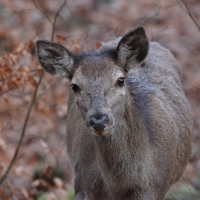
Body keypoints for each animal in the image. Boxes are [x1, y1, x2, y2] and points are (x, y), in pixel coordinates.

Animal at [35, 27, 192, 200]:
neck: (120, 186)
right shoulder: (82, 186)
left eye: (120, 80)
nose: (98, 120)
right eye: (74, 86)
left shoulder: (155, 189)